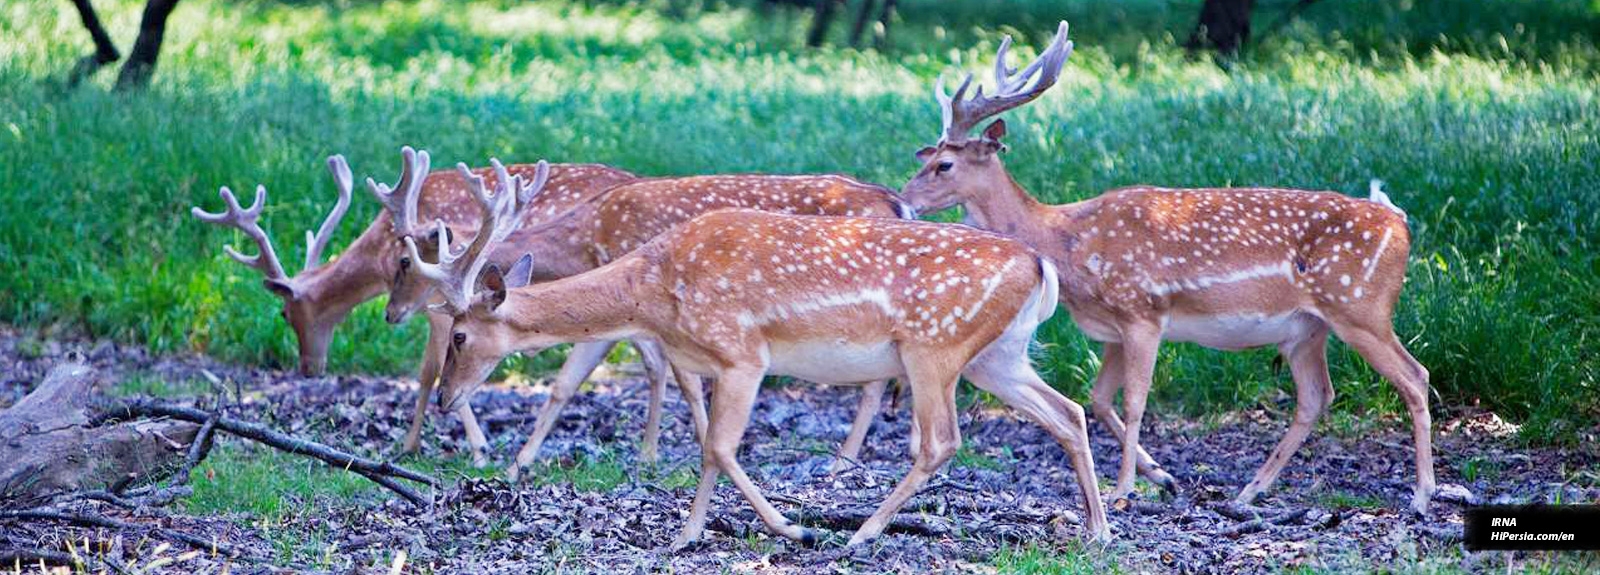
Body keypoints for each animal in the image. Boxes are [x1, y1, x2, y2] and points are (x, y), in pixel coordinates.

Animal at [190, 149, 633, 467]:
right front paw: (417, 442)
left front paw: (468, 448)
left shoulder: (437, 303)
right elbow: (429, 370)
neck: (381, 256)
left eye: (285, 314)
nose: (308, 368)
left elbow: (431, 369)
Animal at [376, 148, 921, 477]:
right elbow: (567, 381)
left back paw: (848, 459)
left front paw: (672, 451)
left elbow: (678, 379)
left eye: (405, 261)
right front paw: (517, 465)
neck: (584, 240)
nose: (391, 314)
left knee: (882, 380)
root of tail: (899, 204)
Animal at [412, 191, 1113, 547]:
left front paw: (787, 526)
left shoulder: (744, 351)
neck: (652, 294)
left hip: (932, 346)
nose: (445, 398)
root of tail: (1039, 265)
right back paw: (1098, 531)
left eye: (460, 335)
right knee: (1068, 412)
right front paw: (688, 534)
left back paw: (861, 534)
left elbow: (721, 447)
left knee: (941, 439)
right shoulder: (714, 362)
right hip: (997, 355)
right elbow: (704, 446)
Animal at [908, 20, 1446, 515]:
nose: (907, 197)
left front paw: (1125, 489)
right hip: (1306, 329)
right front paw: (1162, 476)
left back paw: (1422, 495)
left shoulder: (1143, 311)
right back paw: (1250, 490)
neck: (1069, 242)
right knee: (1317, 396)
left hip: (1361, 307)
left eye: (944, 166)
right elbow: (1099, 399)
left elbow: (1134, 401)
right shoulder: (1113, 330)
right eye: (929, 155)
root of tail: (1399, 223)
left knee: (1414, 376)